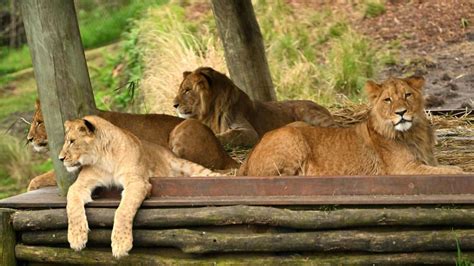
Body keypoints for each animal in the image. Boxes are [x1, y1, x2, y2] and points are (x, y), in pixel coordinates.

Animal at [60, 116, 221, 258]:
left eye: (72, 141)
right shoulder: (80, 184)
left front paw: (121, 244)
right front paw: (76, 237)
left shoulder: (137, 182)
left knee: (210, 174)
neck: (103, 158)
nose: (60, 159)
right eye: (67, 141)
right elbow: (72, 204)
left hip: (186, 165)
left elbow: (123, 210)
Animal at [172, 65, 336, 147]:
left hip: (308, 112)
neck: (211, 111)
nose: (174, 105)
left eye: (187, 90)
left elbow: (230, 135)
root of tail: (320, 105)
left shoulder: (249, 133)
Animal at [239, 76, 464, 177]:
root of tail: (249, 155)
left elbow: (449, 168)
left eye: (407, 95)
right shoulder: (403, 169)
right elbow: (454, 171)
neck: (414, 133)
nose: (401, 112)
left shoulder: (427, 162)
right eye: (388, 100)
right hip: (292, 137)